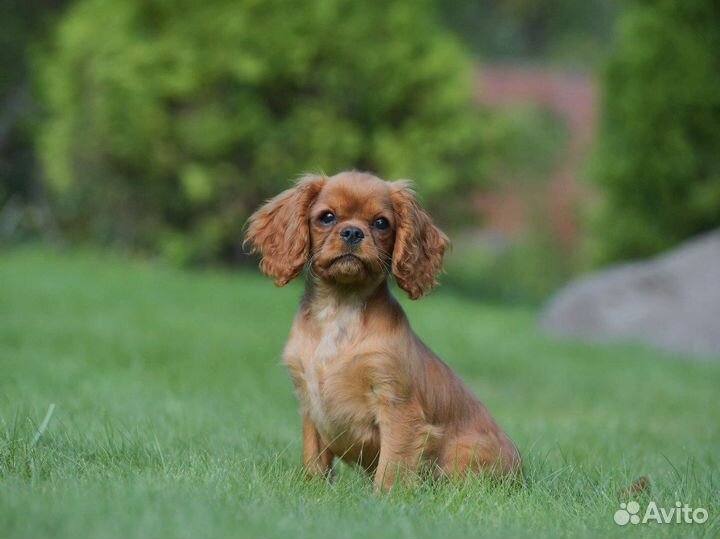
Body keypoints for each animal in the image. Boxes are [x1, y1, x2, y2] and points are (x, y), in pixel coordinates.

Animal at [245, 172, 520, 490]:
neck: (340, 308)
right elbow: (314, 456)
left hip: (463, 451)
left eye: (381, 223)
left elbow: (393, 463)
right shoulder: (308, 402)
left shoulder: (397, 405)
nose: (353, 232)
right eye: (327, 217)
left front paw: (383, 496)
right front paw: (314, 488)